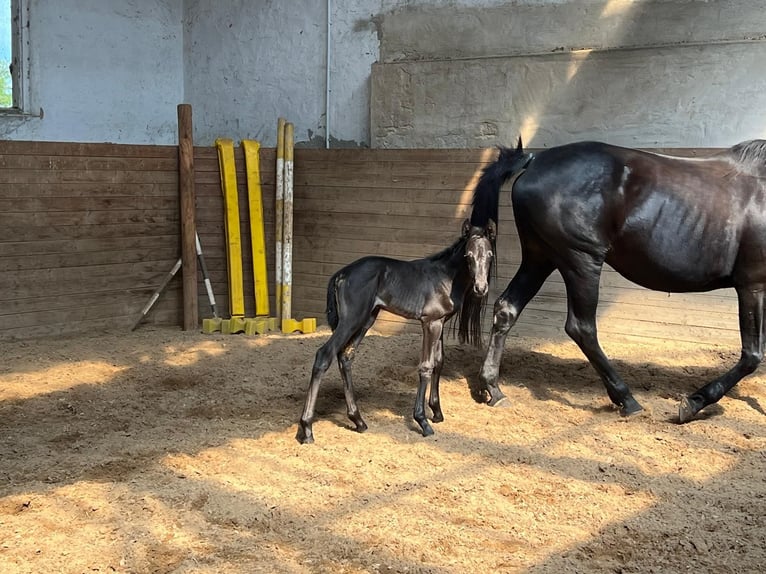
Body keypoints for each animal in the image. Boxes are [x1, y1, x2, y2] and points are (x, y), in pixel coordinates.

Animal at [296, 218, 496, 444]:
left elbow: (439, 362)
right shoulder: (430, 322)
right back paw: (307, 429)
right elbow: (426, 366)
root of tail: (341, 274)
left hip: (366, 320)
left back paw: (358, 420)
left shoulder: (440, 322)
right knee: (324, 354)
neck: (445, 277)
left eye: (490, 255)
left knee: (346, 356)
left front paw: (437, 412)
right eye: (468, 256)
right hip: (351, 320)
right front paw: (422, 420)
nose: (481, 288)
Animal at [469, 137, 766, 423]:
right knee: (582, 328)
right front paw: (692, 404)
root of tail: (534, 161)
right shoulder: (752, 285)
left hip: (540, 258)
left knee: (507, 309)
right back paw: (628, 400)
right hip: (581, 261)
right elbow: (752, 355)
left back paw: (494, 389)